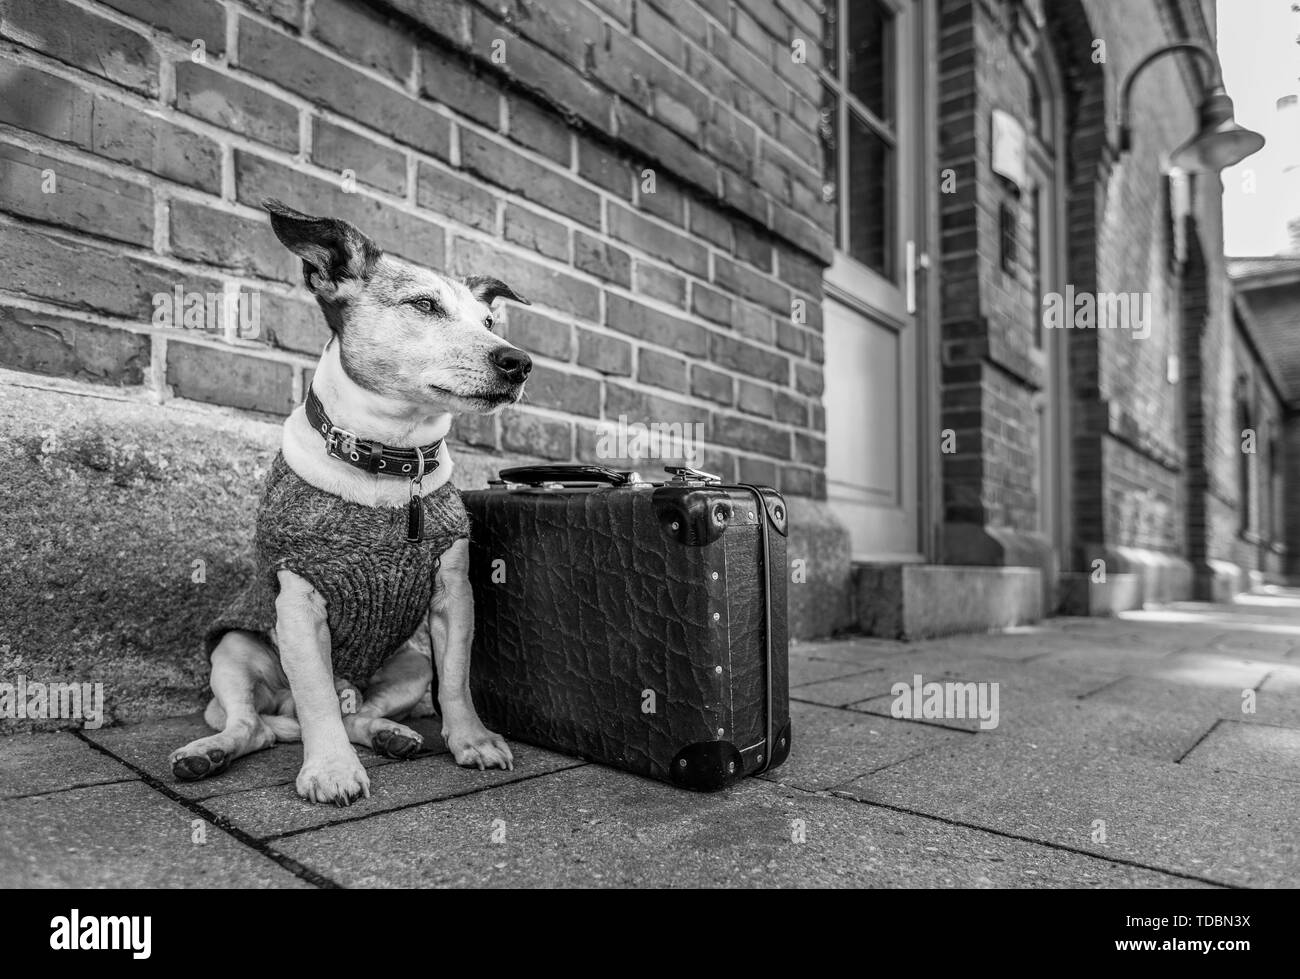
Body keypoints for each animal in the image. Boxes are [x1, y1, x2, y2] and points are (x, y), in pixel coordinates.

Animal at [170, 198, 530, 800]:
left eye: (487, 323)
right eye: (424, 305)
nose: (519, 362)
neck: (390, 460)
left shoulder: (454, 596)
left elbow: (457, 682)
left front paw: (473, 741)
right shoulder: (297, 603)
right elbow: (317, 697)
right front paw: (332, 770)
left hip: (410, 665)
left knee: (358, 713)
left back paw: (390, 735)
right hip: (234, 651)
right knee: (254, 724)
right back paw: (209, 752)